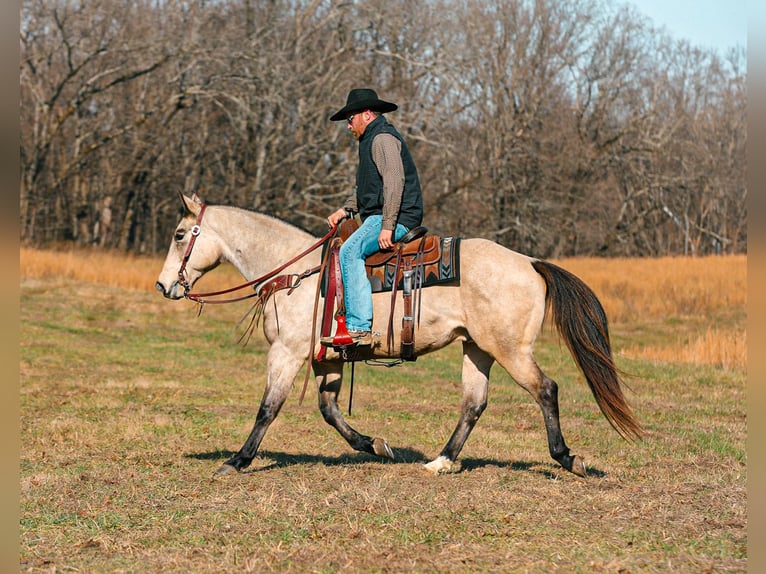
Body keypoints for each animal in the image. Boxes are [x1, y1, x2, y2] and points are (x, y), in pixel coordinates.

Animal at [155, 193, 642, 477]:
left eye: (180, 234)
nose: (164, 286)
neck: (299, 274)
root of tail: (529, 262)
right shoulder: (327, 358)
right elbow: (330, 410)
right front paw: (374, 445)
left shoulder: (287, 353)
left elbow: (267, 409)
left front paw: (237, 461)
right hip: (477, 349)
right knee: (474, 404)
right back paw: (441, 461)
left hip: (511, 350)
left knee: (546, 389)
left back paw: (568, 458)